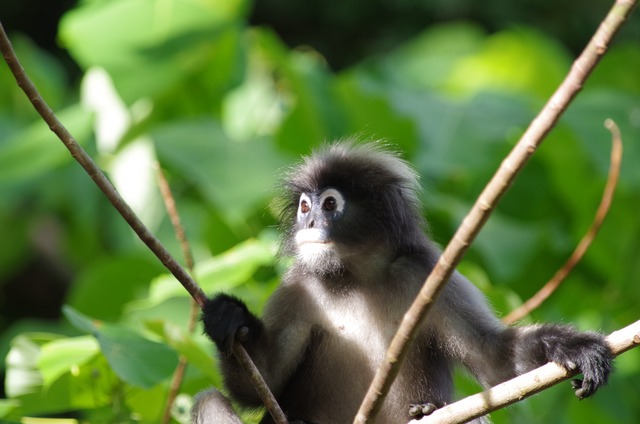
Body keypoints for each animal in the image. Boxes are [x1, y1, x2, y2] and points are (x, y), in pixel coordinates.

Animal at [192, 143, 612, 424]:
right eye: (304, 206)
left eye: (329, 204)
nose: (308, 222)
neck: (356, 275)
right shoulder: (298, 286)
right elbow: (262, 382)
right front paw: (230, 317)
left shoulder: (424, 271)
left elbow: (495, 360)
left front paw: (575, 347)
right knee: (210, 399)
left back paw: (428, 411)